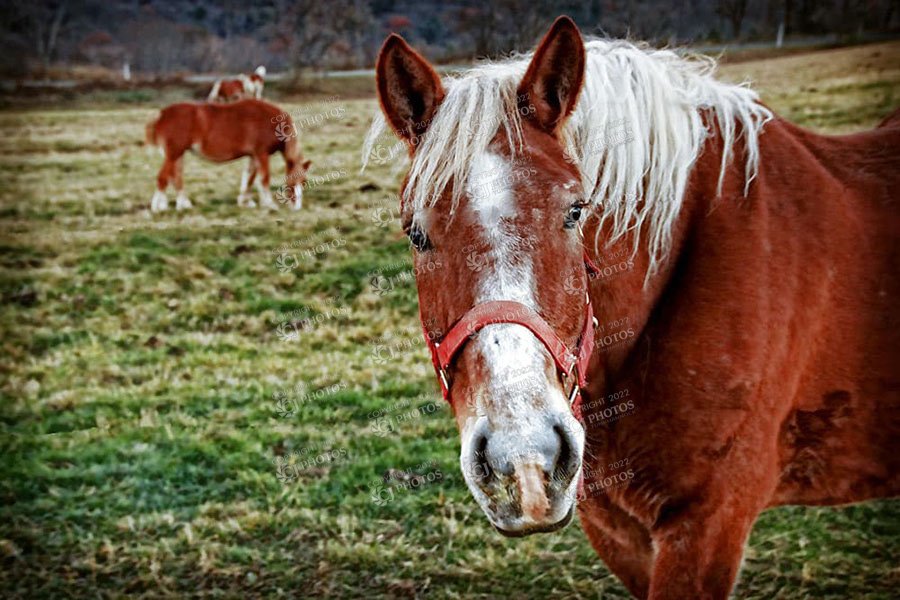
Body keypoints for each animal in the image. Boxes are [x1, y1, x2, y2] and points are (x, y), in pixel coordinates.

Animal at [145, 99, 310, 212]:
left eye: (303, 182)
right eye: (291, 183)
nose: (297, 207)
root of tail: (162, 114)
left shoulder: (253, 156)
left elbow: (249, 179)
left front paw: (245, 202)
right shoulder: (261, 154)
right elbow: (264, 179)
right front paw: (269, 204)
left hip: (178, 155)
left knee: (176, 179)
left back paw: (182, 204)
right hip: (174, 154)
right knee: (163, 178)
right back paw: (157, 207)